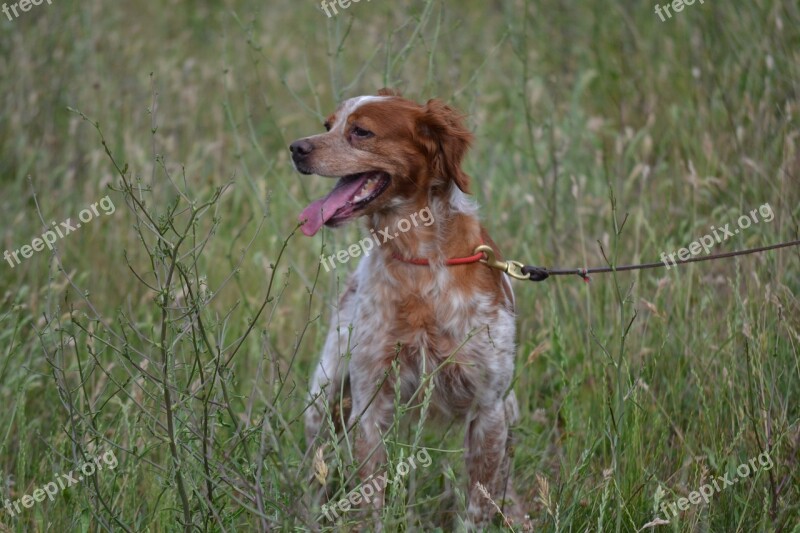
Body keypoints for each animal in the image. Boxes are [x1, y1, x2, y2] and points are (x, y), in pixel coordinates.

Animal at [290, 89, 520, 524]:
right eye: (329, 125)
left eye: (361, 131)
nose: (296, 148)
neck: (420, 261)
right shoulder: (369, 403)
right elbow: (370, 500)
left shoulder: (489, 408)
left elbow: (477, 506)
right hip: (323, 399)